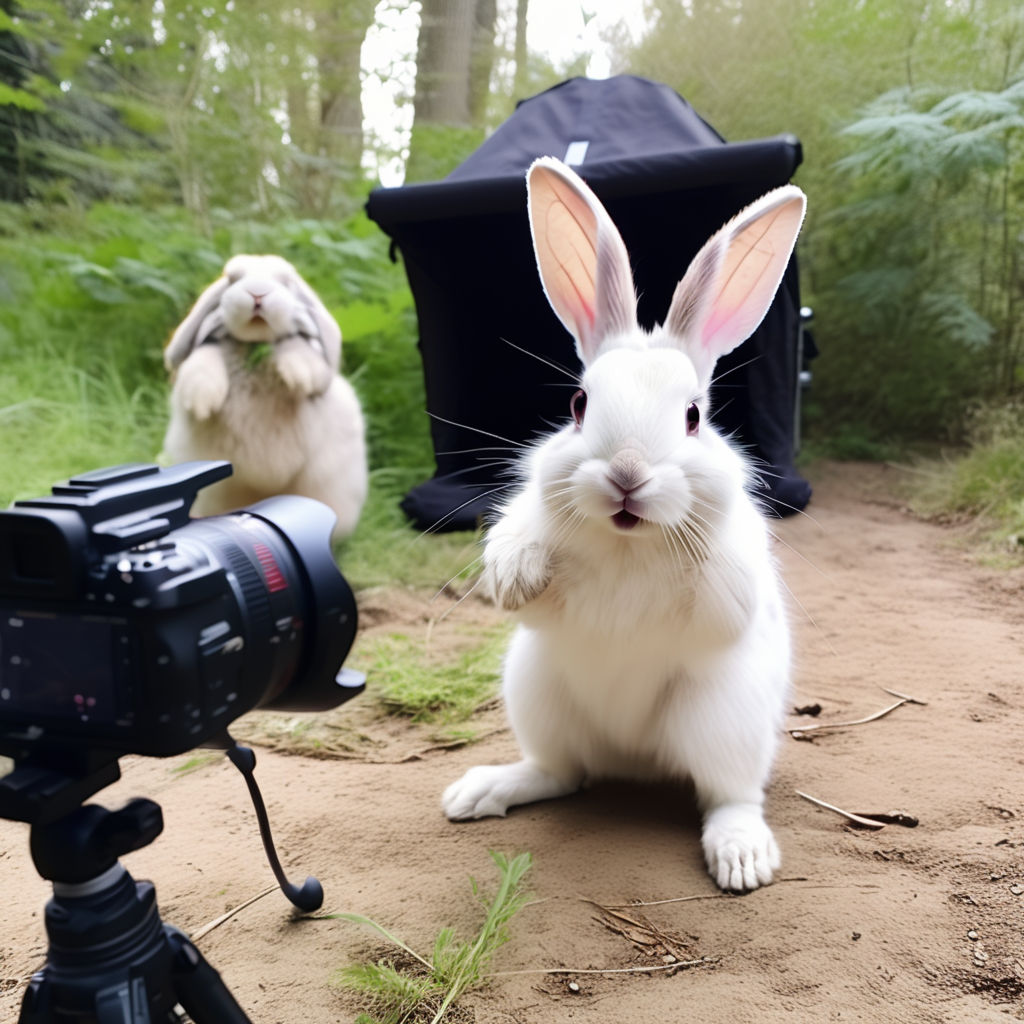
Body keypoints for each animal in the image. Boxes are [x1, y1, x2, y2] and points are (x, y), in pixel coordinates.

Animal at [159, 252, 368, 540]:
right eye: (233, 278)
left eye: (286, 281)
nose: (257, 293)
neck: (255, 345)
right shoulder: (206, 355)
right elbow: (204, 357)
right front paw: (202, 402)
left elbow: (296, 348)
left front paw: (300, 377)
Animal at [444, 155, 802, 892]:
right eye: (579, 404)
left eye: (694, 416)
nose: (627, 474)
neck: (628, 542)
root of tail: (634, 761)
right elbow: (525, 562)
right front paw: (520, 572)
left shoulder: (735, 586)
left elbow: (718, 593)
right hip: (539, 696)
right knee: (562, 773)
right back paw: (479, 791)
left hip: (723, 721)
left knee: (726, 795)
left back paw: (742, 858)